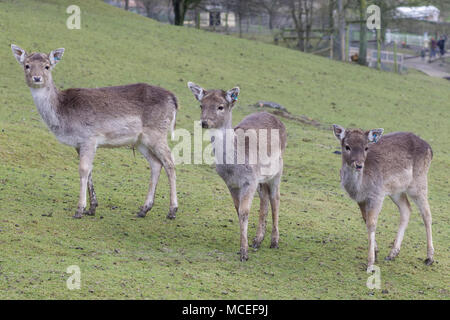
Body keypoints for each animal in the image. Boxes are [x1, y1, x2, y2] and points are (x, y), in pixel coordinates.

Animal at [11, 45, 178, 220]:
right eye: (27, 65)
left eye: (47, 66)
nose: (36, 78)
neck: (62, 115)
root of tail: (173, 99)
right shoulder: (79, 144)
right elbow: (89, 170)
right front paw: (92, 208)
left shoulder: (89, 137)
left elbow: (83, 169)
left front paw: (79, 210)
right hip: (140, 141)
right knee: (156, 164)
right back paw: (144, 209)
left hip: (157, 133)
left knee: (170, 162)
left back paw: (172, 211)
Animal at [187, 81, 286, 262]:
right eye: (201, 105)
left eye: (220, 106)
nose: (204, 122)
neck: (234, 167)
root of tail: (278, 120)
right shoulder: (232, 183)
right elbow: (237, 210)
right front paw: (245, 247)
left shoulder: (250, 180)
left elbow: (244, 211)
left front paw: (244, 253)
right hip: (261, 178)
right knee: (265, 198)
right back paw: (258, 240)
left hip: (277, 170)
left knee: (275, 198)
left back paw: (274, 241)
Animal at [332, 125, 434, 272]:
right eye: (347, 146)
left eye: (366, 147)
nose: (359, 165)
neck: (360, 187)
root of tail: (430, 149)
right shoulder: (361, 199)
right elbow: (365, 220)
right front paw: (376, 251)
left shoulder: (377, 195)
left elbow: (371, 223)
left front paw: (370, 264)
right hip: (396, 190)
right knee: (406, 209)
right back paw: (392, 253)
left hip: (418, 182)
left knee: (426, 214)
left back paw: (429, 258)